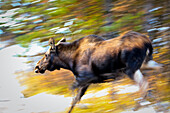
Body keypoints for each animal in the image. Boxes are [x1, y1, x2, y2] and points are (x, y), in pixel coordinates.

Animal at [34, 31, 162, 113]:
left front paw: (84, 107)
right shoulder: (85, 82)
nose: (37, 67)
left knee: (144, 84)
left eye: (46, 55)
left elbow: (72, 91)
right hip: (145, 64)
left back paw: (138, 106)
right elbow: (75, 100)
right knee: (158, 70)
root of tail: (147, 41)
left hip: (130, 69)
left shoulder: (85, 78)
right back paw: (155, 100)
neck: (68, 62)